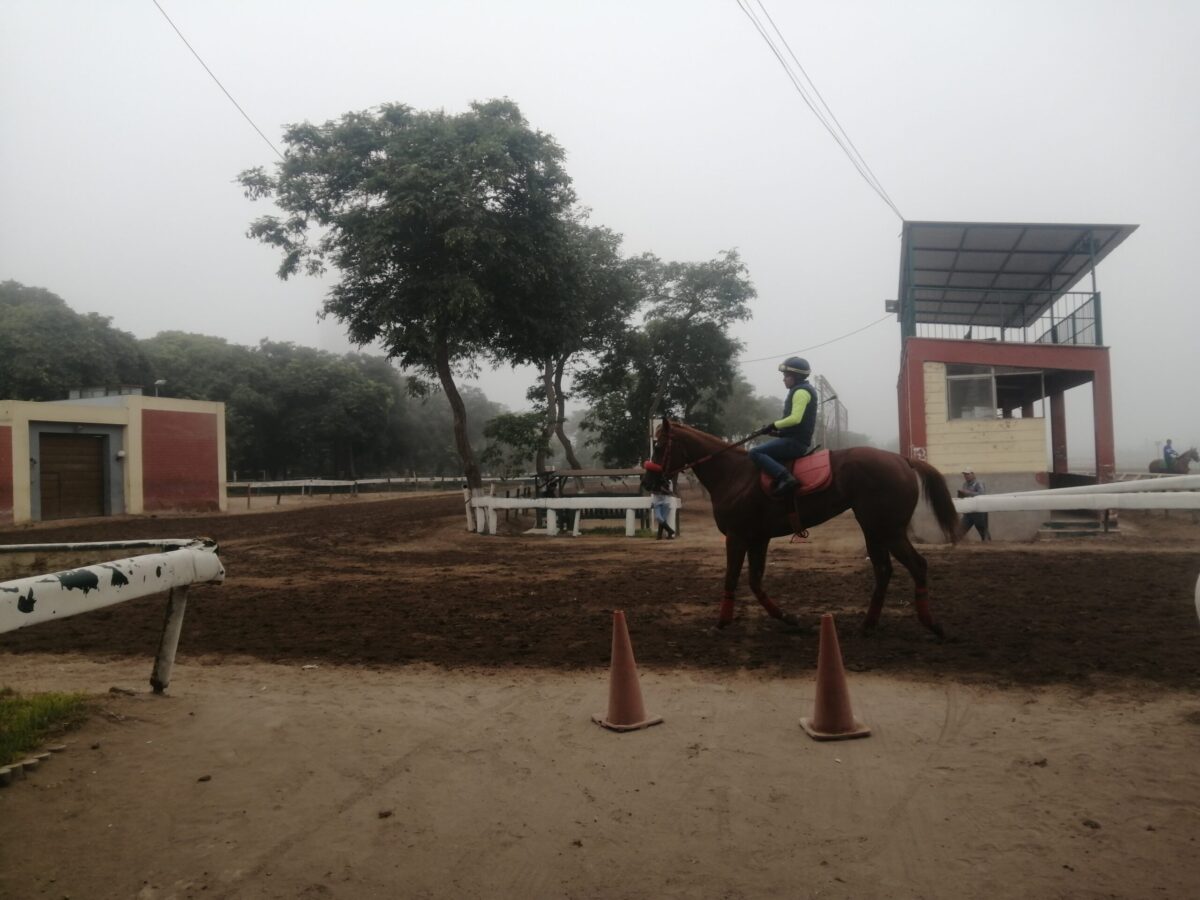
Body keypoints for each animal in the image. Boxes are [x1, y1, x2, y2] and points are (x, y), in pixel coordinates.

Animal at [642, 420, 959, 637]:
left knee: (917, 566)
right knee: (884, 571)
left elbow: (732, 579)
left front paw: (721, 622)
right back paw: (868, 625)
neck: (734, 474)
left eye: (659, 446)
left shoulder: (737, 537)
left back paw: (931, 624)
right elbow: (755, 582)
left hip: (888, 530)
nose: (647, 482)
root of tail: (902, 459)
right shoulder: (758, 539)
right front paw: (787, 617)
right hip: (874, 530)